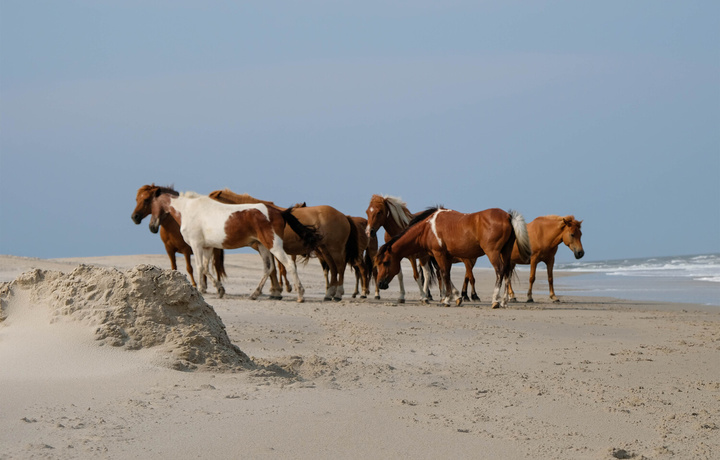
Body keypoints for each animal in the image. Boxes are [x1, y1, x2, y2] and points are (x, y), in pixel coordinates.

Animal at [208, 188, 358, 300]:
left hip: (335, 249)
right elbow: (272, 269)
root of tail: (344, 216)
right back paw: (329, 294)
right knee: (333, 269)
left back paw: (338, 294)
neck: (248, 214)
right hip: (325, 250)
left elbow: (272, 270)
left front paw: (276, 292)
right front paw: (275, 291)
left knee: (340, 268)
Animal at [374, 207, 532, 308]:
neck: (428, 228)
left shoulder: (438, 253)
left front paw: (446, 300)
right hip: (506, 251)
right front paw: (455, 297)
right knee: (507, 272)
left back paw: (495, 300)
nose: (380, 283)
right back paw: (504, 301)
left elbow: (444, 274)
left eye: (386, 262)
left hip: (492, 252)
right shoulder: (447, 256)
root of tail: (508, 216)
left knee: (500, 271)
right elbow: (447, 275)